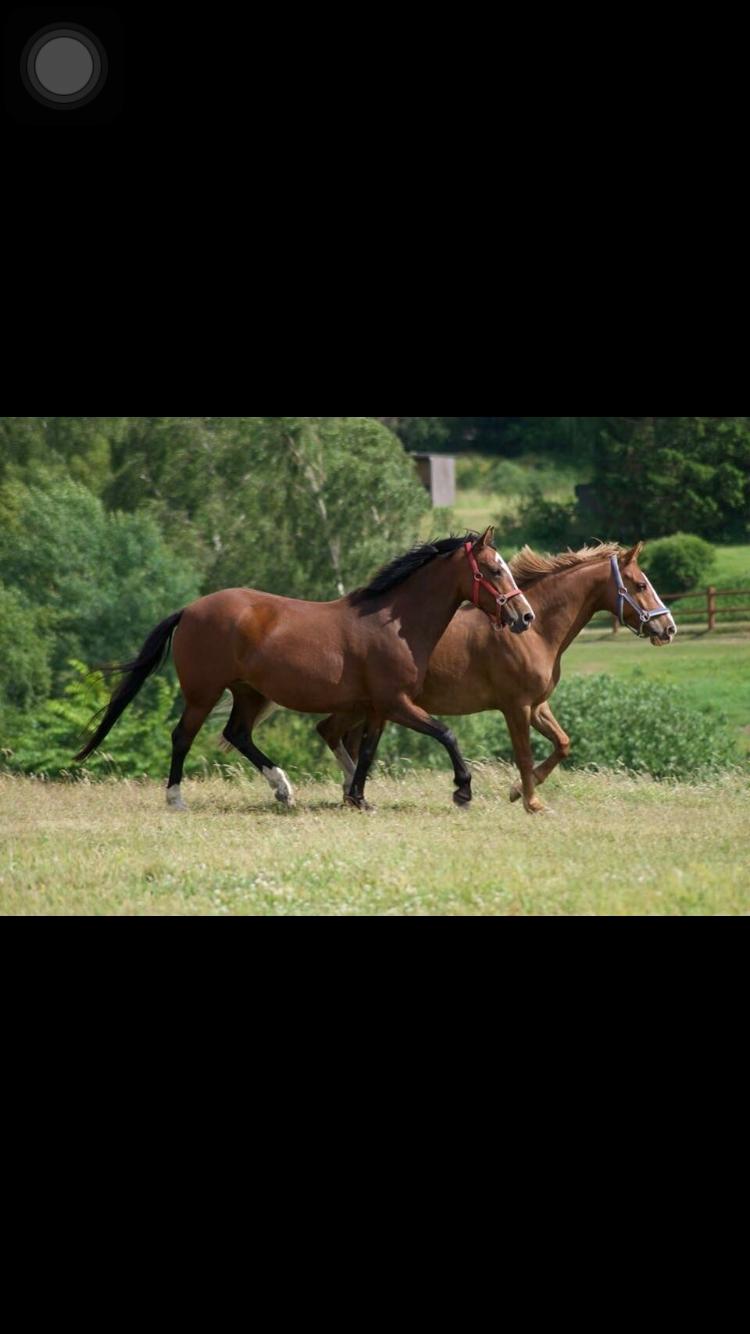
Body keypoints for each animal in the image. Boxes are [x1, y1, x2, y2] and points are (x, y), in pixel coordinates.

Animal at [74, 530, 531, 811]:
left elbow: (367, 752)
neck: (394, 623)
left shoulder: (380, 707)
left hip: (249, 692)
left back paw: (283, 789)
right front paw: (463, 791)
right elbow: (447, 734)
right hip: (204, 693)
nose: (523, 617)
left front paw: (358, 798)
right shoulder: (396, 703)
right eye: (493, 569)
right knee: (183, 737)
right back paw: (176, 799)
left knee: (238, 734)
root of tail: (189, 610)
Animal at [314, 541, 672, 811]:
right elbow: (524, 755)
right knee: (334, 733)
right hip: (372, 704)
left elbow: (562, 744)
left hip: (365, 707)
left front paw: (517, 791)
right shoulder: (516, 706)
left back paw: (350, 793)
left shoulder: (538, 706)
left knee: (332, 733)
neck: (536, 632)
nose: (668, 627)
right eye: (641, 585)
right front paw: (531, 802)